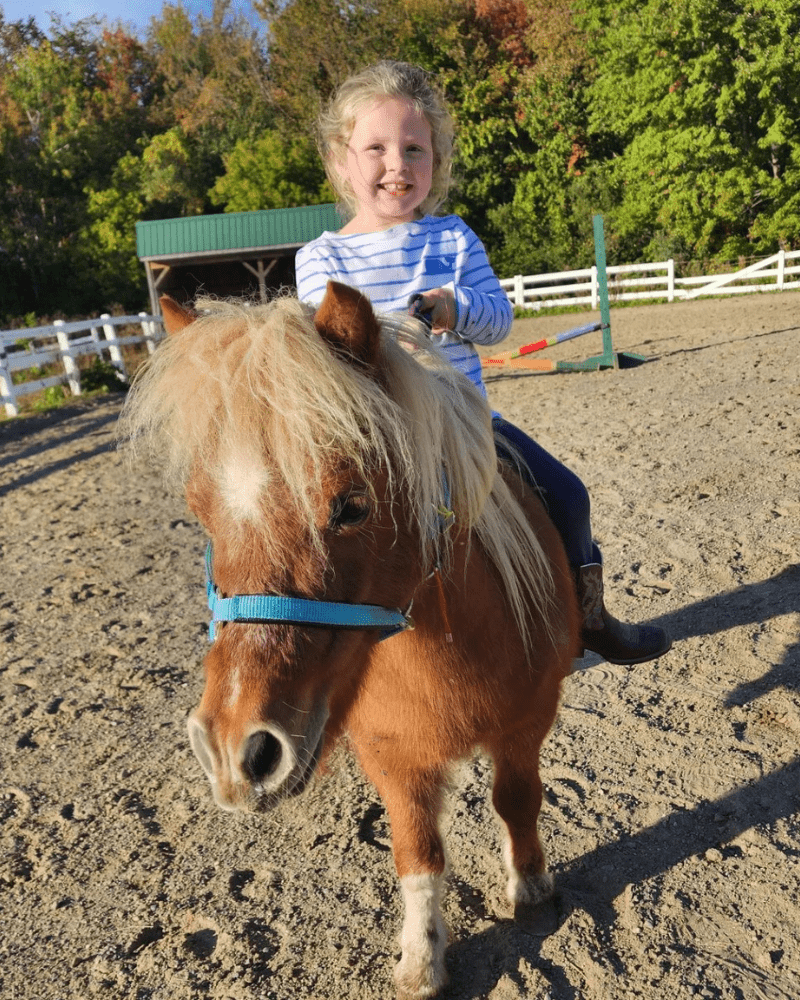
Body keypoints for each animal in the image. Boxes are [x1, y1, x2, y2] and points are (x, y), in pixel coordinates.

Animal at [120, 280, 580, 998]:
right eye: (199, 512)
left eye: (351, 506)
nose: (233, 751)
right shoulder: (393, 757)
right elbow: (417, 850)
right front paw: (420, 959)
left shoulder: (528, 722)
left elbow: (518, 800)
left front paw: (530, 886)